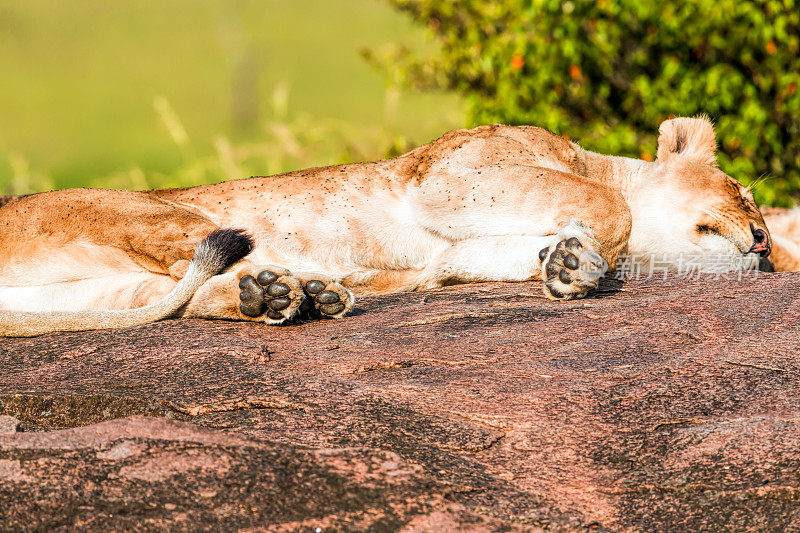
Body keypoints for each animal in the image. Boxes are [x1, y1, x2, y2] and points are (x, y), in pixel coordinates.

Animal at [0, 117, 780, 336]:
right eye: (745, 200)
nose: (764, 248)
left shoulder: (452, 248)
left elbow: (478, 259)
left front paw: (565, 266)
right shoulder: (444, 176)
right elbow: (607, 208)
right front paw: (584, 258)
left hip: (105, 290)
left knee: (189, 296)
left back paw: (295, 296)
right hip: (158, 211)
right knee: (204, 263)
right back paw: (299, 289)